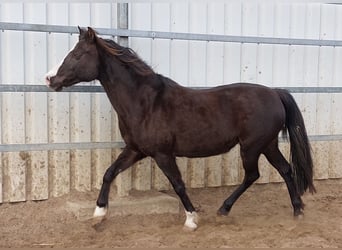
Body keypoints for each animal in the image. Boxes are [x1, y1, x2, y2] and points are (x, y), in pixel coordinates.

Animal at [45, 27, 316, 230]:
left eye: (78, 54)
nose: (50, 79)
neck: (145, 102)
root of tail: (275, 93)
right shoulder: (135, 150)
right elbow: (109, 173)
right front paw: (99, 214)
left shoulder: (163, 154)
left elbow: (178, 184)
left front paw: (191, 220)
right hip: (267, 145)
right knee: (285, 170)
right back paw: (297, 210)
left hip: (251, 147)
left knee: (253, 175)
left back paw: (224, 209)